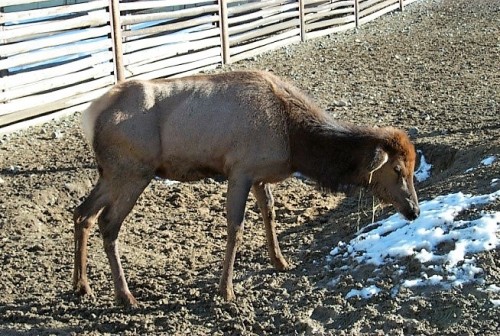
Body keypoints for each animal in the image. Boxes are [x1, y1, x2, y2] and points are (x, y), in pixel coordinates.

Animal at [73, 71, 418, 308]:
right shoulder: (240, 169)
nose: (414, 210)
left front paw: (280, 262)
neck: (295, 141)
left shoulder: (260, 177)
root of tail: (90, 116)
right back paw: (125, 296)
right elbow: (236, 227)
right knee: (108, 223)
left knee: (82, 213)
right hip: (133, 171)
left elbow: (269, 215)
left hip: (110, 173)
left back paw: (82, 286)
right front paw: (226, 290)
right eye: (398, 169)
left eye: (414, 168)